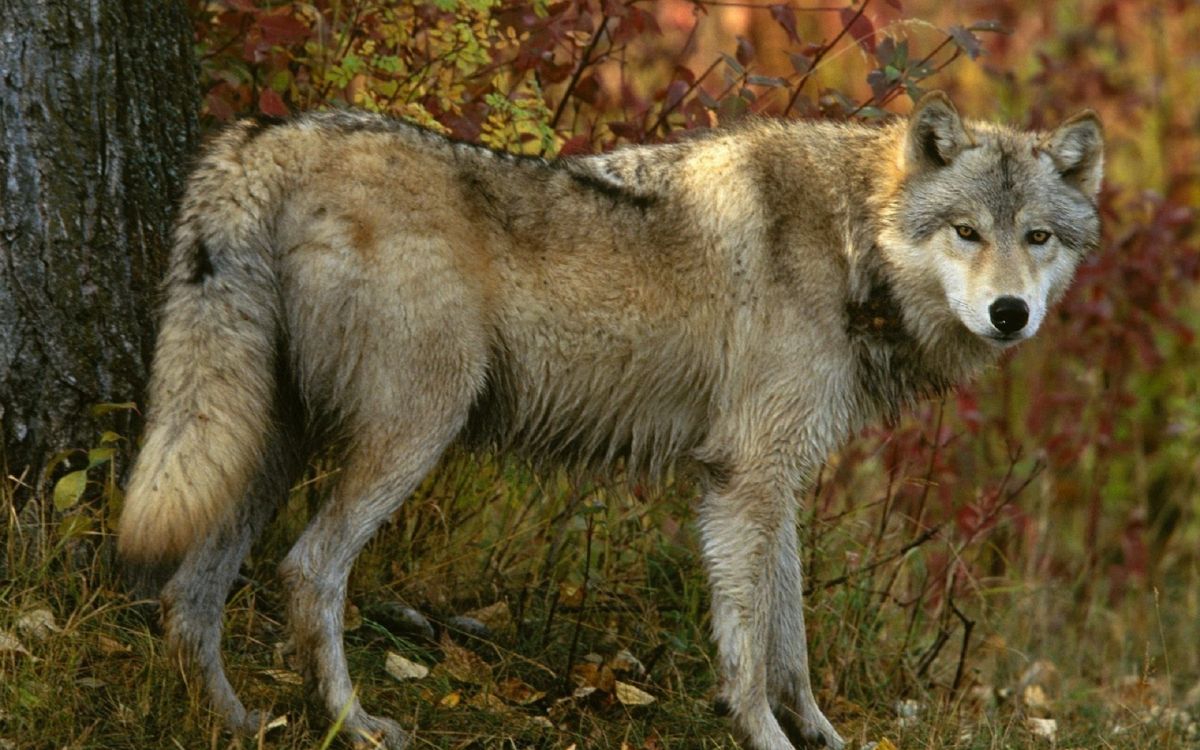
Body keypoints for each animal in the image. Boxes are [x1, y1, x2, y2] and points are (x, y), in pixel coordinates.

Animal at [118, 92, 1102, 749]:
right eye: (968, 231)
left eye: (1038, 238)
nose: (1011, 313)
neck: (852, 241)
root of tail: (267, 136)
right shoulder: (744, 480)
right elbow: (750, 653)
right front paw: (767, 737)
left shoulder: (769, 480)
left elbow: (789, 640)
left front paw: (820, 735)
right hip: (409, 435)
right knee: (308, 571)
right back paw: (354, 725)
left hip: (263, 445)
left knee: (188, 595)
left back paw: (233, 720)